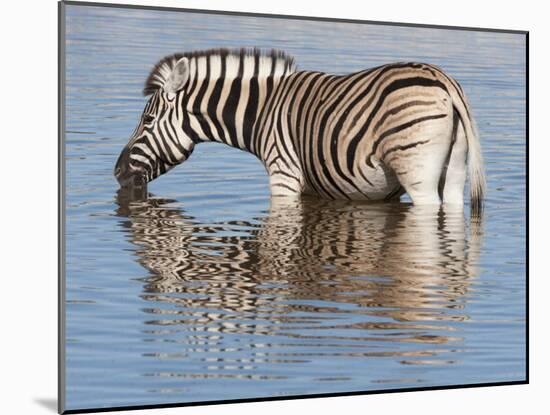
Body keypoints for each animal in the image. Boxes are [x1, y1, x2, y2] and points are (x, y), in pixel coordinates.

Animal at [114, 47, 486, 213]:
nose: (116, 173)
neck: (263, 111)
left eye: (147, 121)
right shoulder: (311, 185)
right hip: (454, 170)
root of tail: (444, 81)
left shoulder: (283, 174)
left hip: (417, 171)